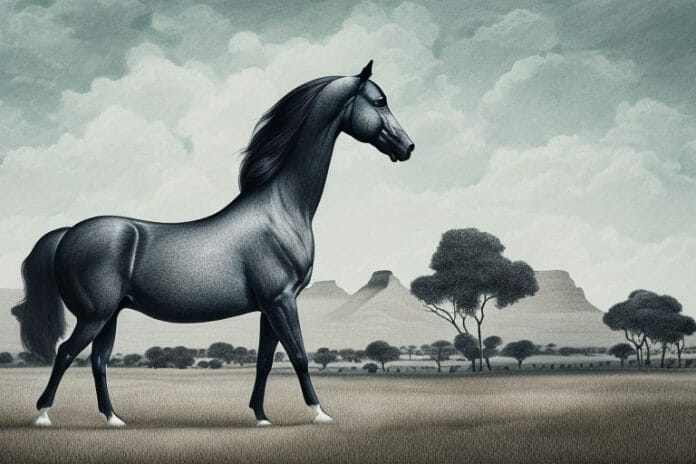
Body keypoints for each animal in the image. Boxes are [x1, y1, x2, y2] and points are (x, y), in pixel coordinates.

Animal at [12, 61, 414, 427]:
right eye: (379, 101)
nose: (408, 146)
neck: (281, 207)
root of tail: (68, 233)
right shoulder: (281, 300)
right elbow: (299, 355)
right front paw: (320, 413)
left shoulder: (270, 305)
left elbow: (265, 360)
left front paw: (261, 415)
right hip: (94, 315)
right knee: (65, 354)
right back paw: (43, 415)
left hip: (109, 314)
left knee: (98, 361)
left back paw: (113, 418)